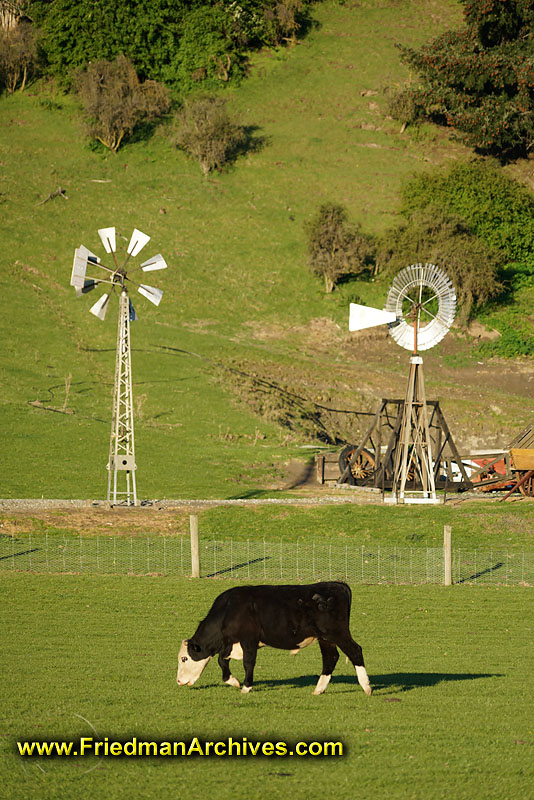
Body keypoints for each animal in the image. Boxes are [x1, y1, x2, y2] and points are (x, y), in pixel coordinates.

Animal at [176, 580, 372, 692]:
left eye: (184, 658)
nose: (178, 681)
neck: (229, 609)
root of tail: (337, 584)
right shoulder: (231, 643)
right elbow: (222, 661)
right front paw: (233, 681)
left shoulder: (249, 640)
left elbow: (248, 663)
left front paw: (246, 687)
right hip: (325, 638)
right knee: (330, 657)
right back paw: (319, 689)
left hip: (337, 633)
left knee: (355, 651)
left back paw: (366, 687)